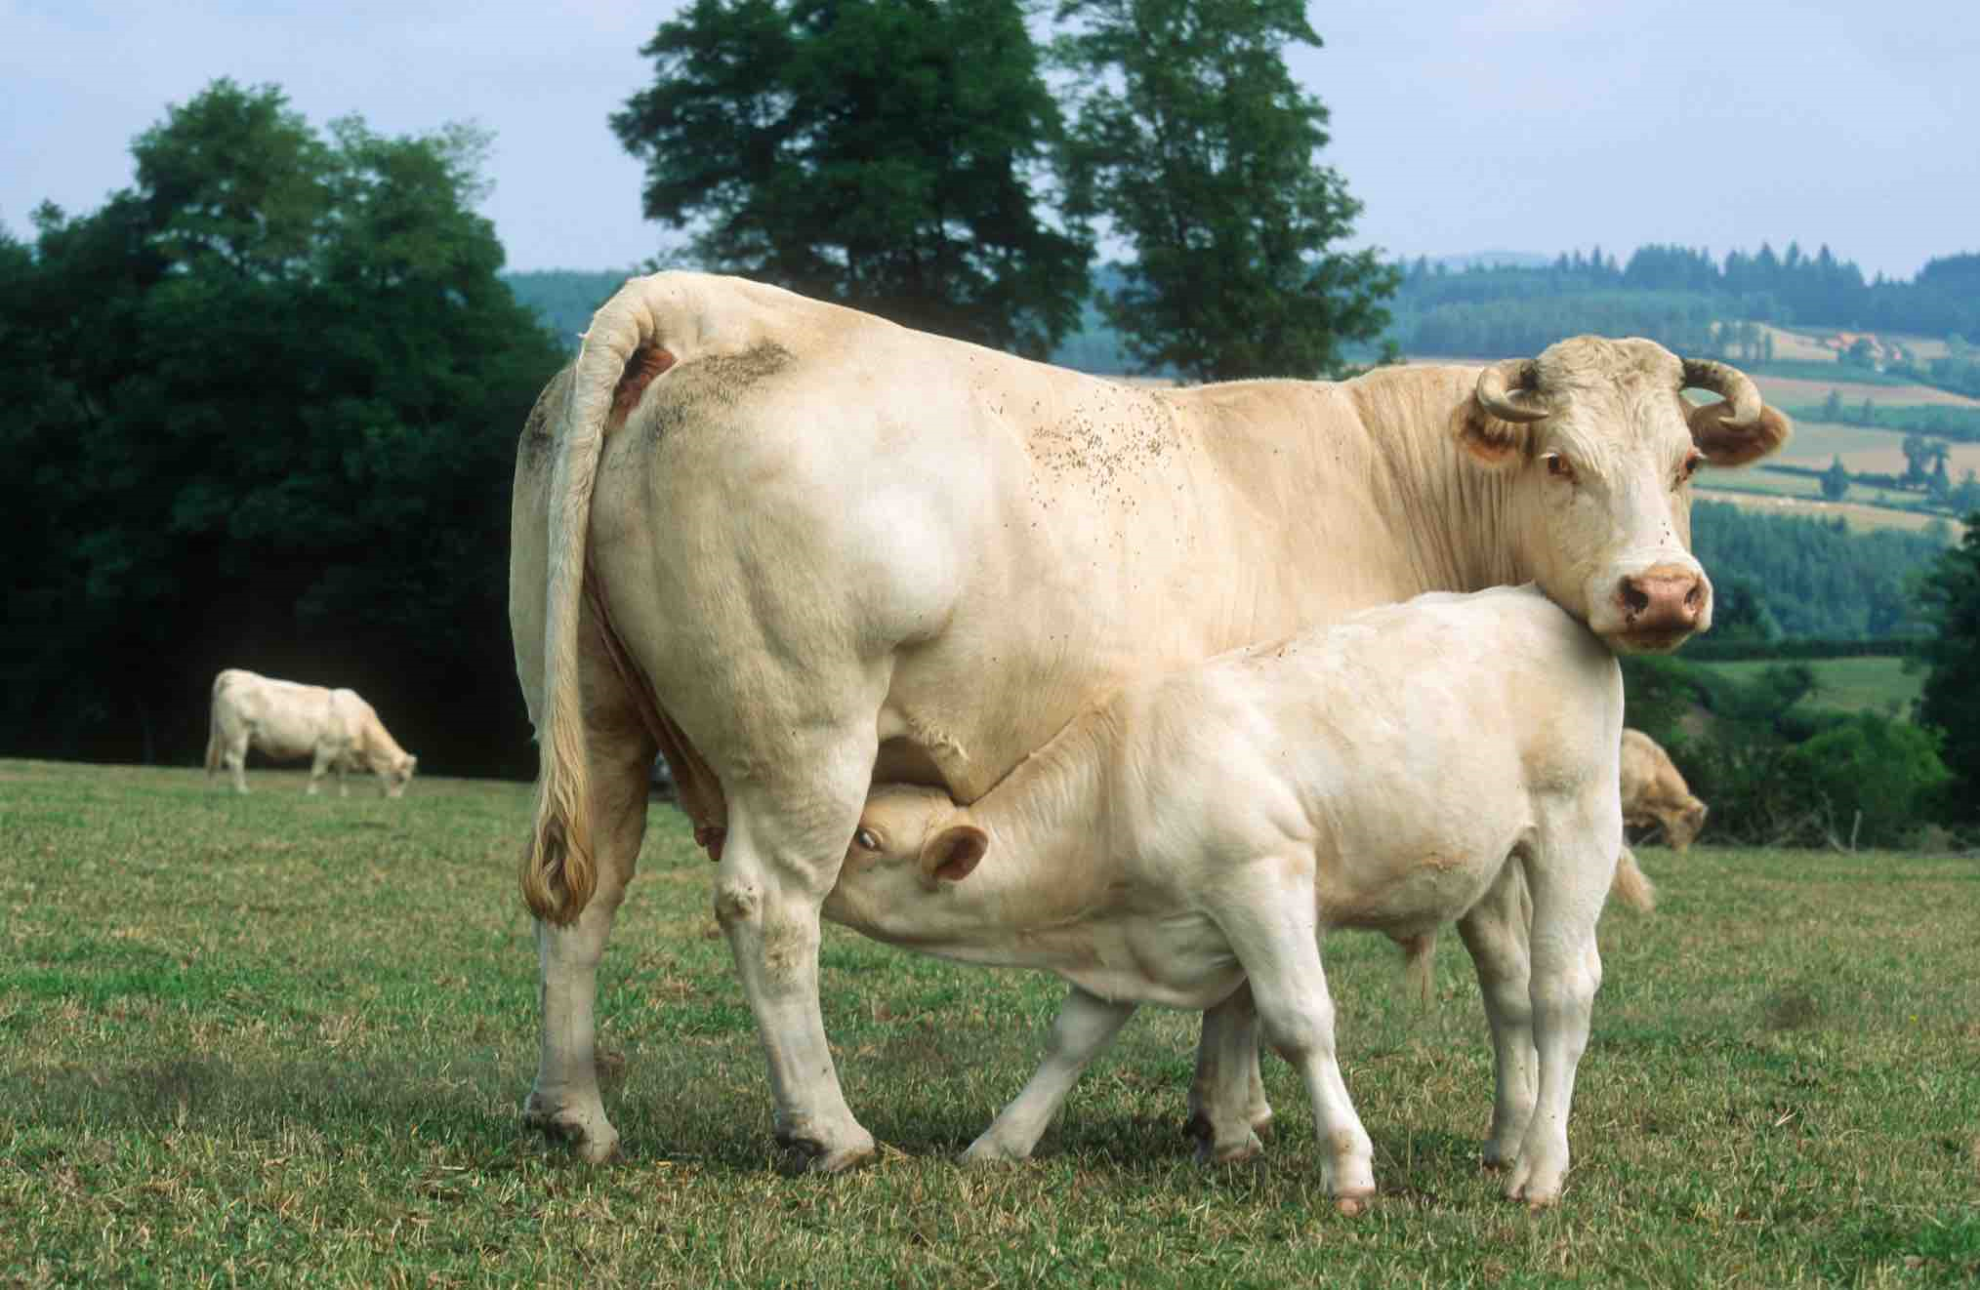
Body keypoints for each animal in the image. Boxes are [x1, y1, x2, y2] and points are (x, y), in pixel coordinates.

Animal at [204, 668, 417, 799]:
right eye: (401, 778)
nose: (395, 800)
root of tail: (235, 674)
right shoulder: (327, 747)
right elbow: (318, 772)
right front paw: (312, 794)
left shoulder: (342, 754)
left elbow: (341, 776)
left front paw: (344, 796)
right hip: (238, 733)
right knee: (234, 760)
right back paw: (242, 790)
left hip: (222, 732)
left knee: (216, 761)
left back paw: (214, 788)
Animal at [827, 585, 1631, 1210]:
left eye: (865, 839)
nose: (816, 866)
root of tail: (1529, 598)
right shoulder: (1130, 942)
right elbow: (1072, 1039)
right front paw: (1000, 1142)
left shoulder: (1262, 881)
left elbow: (1300, 1023)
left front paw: (1347, 1166)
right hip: (1490, 866)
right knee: (1508, 991)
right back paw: (1507, 1138)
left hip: (1577, 822)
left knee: (1562, 990)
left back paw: (1539, 1169)